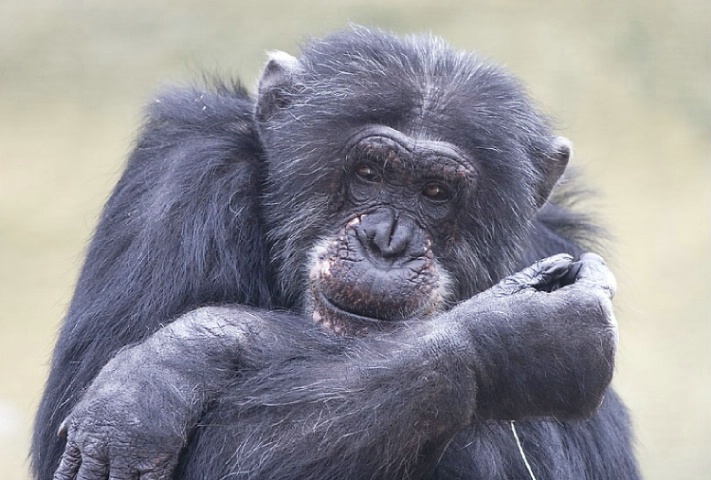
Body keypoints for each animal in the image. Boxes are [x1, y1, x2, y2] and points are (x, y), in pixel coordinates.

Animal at [32, 27, 640, 480]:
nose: (387, 241)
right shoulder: (183, 178)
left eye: (436, 192)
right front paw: (518, 336)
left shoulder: (555, 243)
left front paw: (189, 353)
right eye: (369, 172)